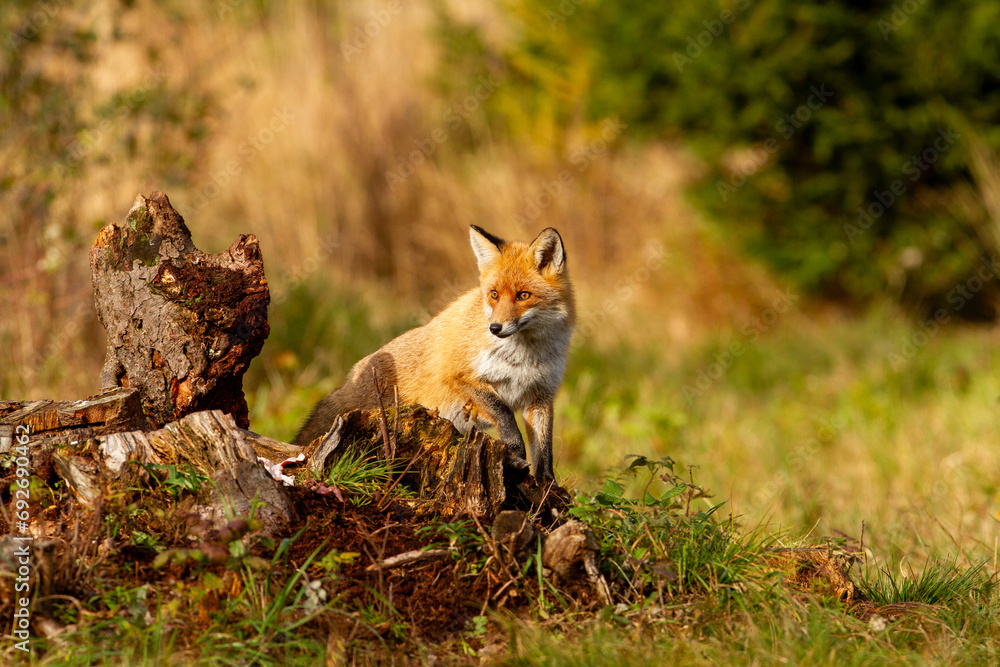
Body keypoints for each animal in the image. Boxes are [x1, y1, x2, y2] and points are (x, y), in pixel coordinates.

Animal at [294, 225, 575, 481]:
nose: (495, 328)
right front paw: (515, 453)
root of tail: (350, 379)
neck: (525, 357)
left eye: (523, 295)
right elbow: (503, 411)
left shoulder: (541, 396)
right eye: (494, 295)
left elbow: (545, 449)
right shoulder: (457, 376)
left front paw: (547, 487)